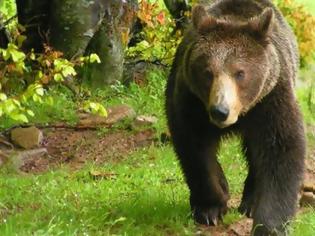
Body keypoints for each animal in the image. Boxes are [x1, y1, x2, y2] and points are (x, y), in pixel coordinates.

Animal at [167, 0, 308, 234]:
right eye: (207, 72)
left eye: (240, 73)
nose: (220, 111)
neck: (241, 114)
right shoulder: (192, 102)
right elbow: (195, 150)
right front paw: (211, 208)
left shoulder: (270, 100)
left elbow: (282, 150)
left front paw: (269, 226)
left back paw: (250, 202)